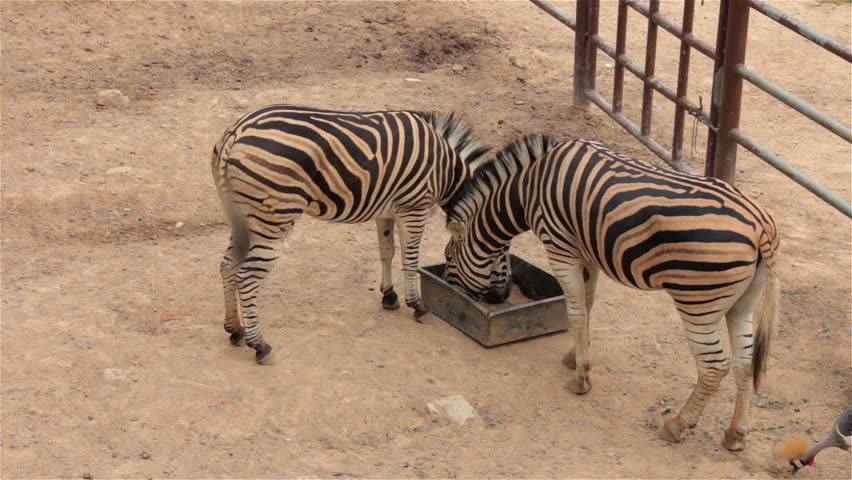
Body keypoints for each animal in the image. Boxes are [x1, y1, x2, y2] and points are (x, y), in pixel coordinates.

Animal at [442, 134, 784, 450]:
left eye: (448, 258)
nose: (496, 300)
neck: (529, 186)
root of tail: (761, 227)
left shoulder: (560, 246)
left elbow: (576, 312)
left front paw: (581, 379)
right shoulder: (586, 250)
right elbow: (589, 303)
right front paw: (575, 356)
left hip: (698, 302)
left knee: (714, 367)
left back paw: (677, 424)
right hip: (743, 302)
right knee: (745, 362)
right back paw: (736, 434)